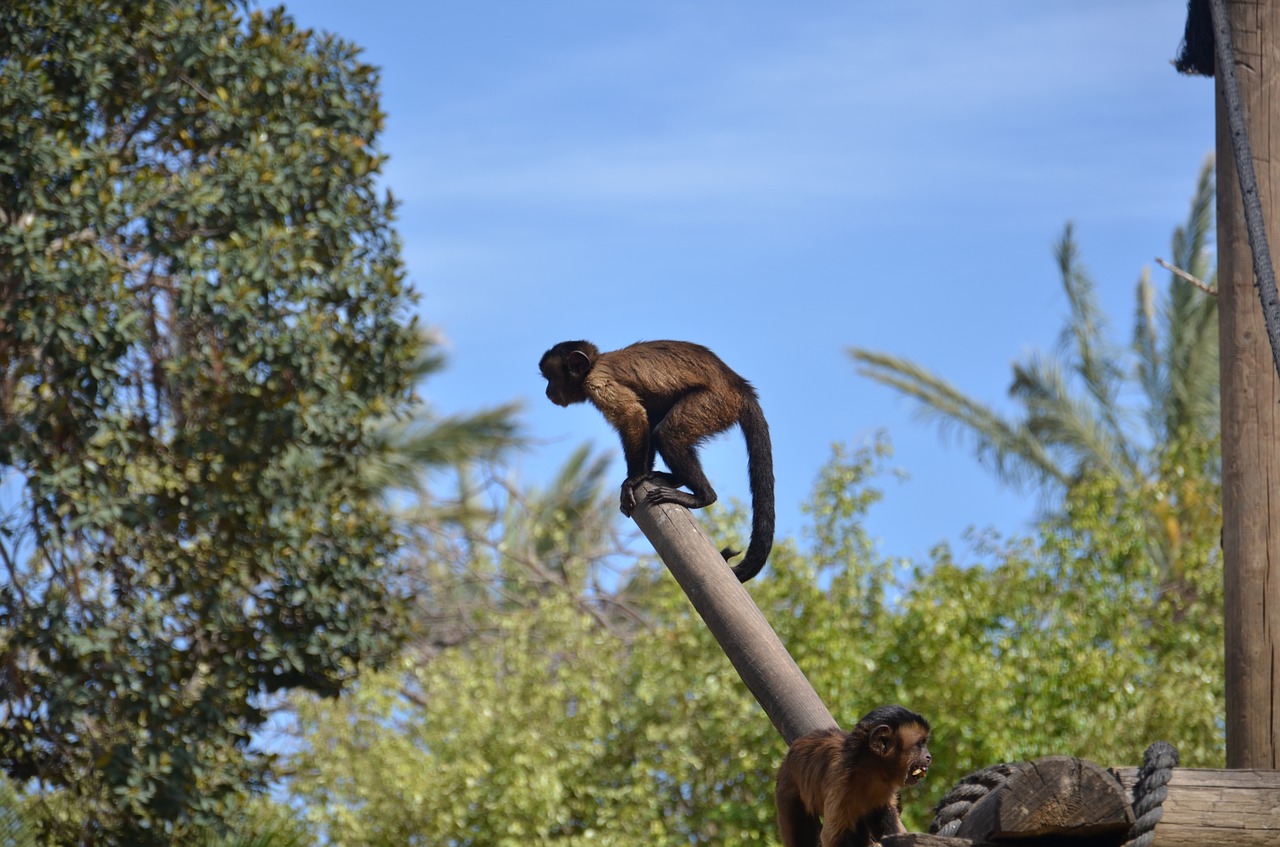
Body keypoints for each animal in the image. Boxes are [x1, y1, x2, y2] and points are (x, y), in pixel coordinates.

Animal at [773, 701, 936, 847]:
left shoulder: (885, 790)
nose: (929, 756)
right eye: (920, 744)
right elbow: (832, 836)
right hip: (787, 792)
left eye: (924, 743)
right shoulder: (841, 782)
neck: (870, 772)